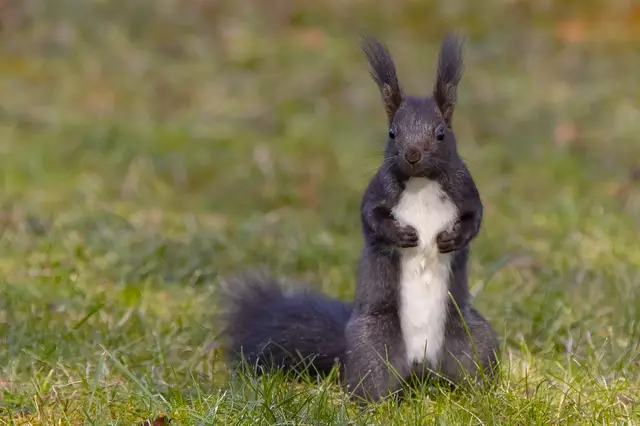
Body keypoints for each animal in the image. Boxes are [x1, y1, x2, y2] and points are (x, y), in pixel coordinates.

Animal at [219, 33, 499, 404]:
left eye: (441, 133)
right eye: (393, 132)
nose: (412, 155)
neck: (422, 183)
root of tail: (420, 368)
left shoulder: (465, 188)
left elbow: (475, 217)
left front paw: (450, 238)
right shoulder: (377, 190)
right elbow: (370, 217)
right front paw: (403, 235)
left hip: (471, 336)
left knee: (473, 364)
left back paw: (481, 395)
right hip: (373, 344)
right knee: (375, 379)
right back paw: (376, 404)